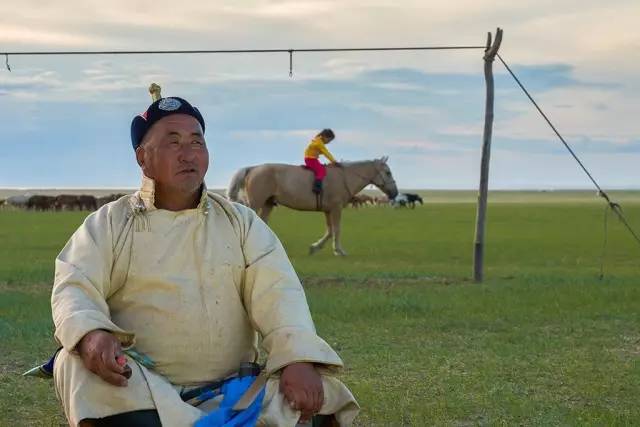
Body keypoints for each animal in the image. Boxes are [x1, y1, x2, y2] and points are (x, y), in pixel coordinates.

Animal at [228, 159, 398, 256]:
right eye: (388, 172)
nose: (395, 193)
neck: (344, 178)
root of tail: (253, 168)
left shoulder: (328, 210)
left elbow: (330, 231)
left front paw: (316, 247)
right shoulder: (336, 209)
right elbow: (336, 230)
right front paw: (339, 250)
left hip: (268, 204)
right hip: (256, 203)